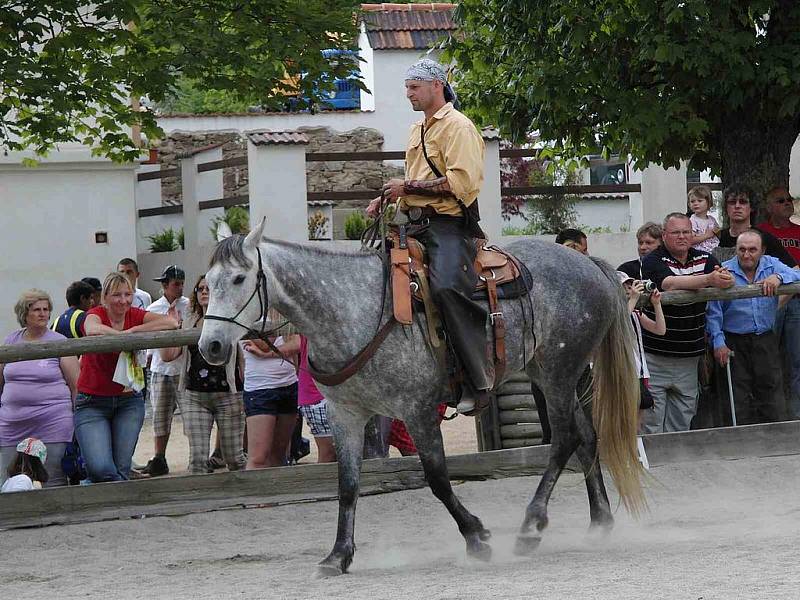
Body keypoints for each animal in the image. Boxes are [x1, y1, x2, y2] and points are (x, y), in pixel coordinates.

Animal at [200, 218, 644, 576]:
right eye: (207, 281)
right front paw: (338, 556)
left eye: (239, 279)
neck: (351, 309)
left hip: (558, 373)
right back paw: (599, 523)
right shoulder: (345, 414)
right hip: (551, 375)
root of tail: (590, 264)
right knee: (586, 438)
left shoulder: (417, 411)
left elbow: (437, 479)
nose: (211, 347)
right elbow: (347, 485)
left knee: (565, 439)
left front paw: (477, 537)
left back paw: (530, 526)